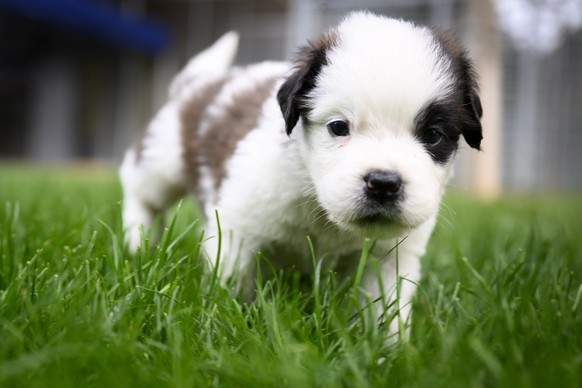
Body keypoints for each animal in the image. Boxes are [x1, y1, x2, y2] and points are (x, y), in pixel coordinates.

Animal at [118, 10, 484, 328]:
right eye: (338, 127)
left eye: (433, 135)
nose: (383, 183)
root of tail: (202, 82)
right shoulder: (238, 230)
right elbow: (231, 289)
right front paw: (229, 325)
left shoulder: (391, 257)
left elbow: (385, 313)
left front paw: (388, 354)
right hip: (162, 160)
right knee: (140, 188)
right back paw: (137, 241)